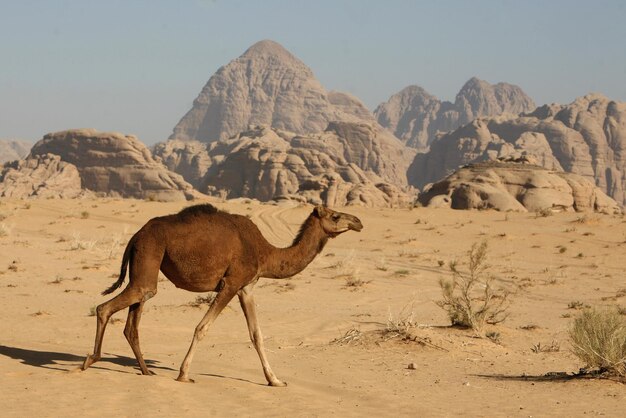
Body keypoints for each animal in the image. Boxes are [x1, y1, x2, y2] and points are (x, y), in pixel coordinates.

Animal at [80, 203, 360, 386]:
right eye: (336, 215)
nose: (358, 221)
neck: (265, 253)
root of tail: (136, 236)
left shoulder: (247, 287)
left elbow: (257, 334)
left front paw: (276, 380)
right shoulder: (231, 283)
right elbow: (202, 328)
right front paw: (183, 374)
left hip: (144, 266)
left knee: (133, 318)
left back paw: (146, 371)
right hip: (149, 256)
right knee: (107, 307)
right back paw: (90, 360)